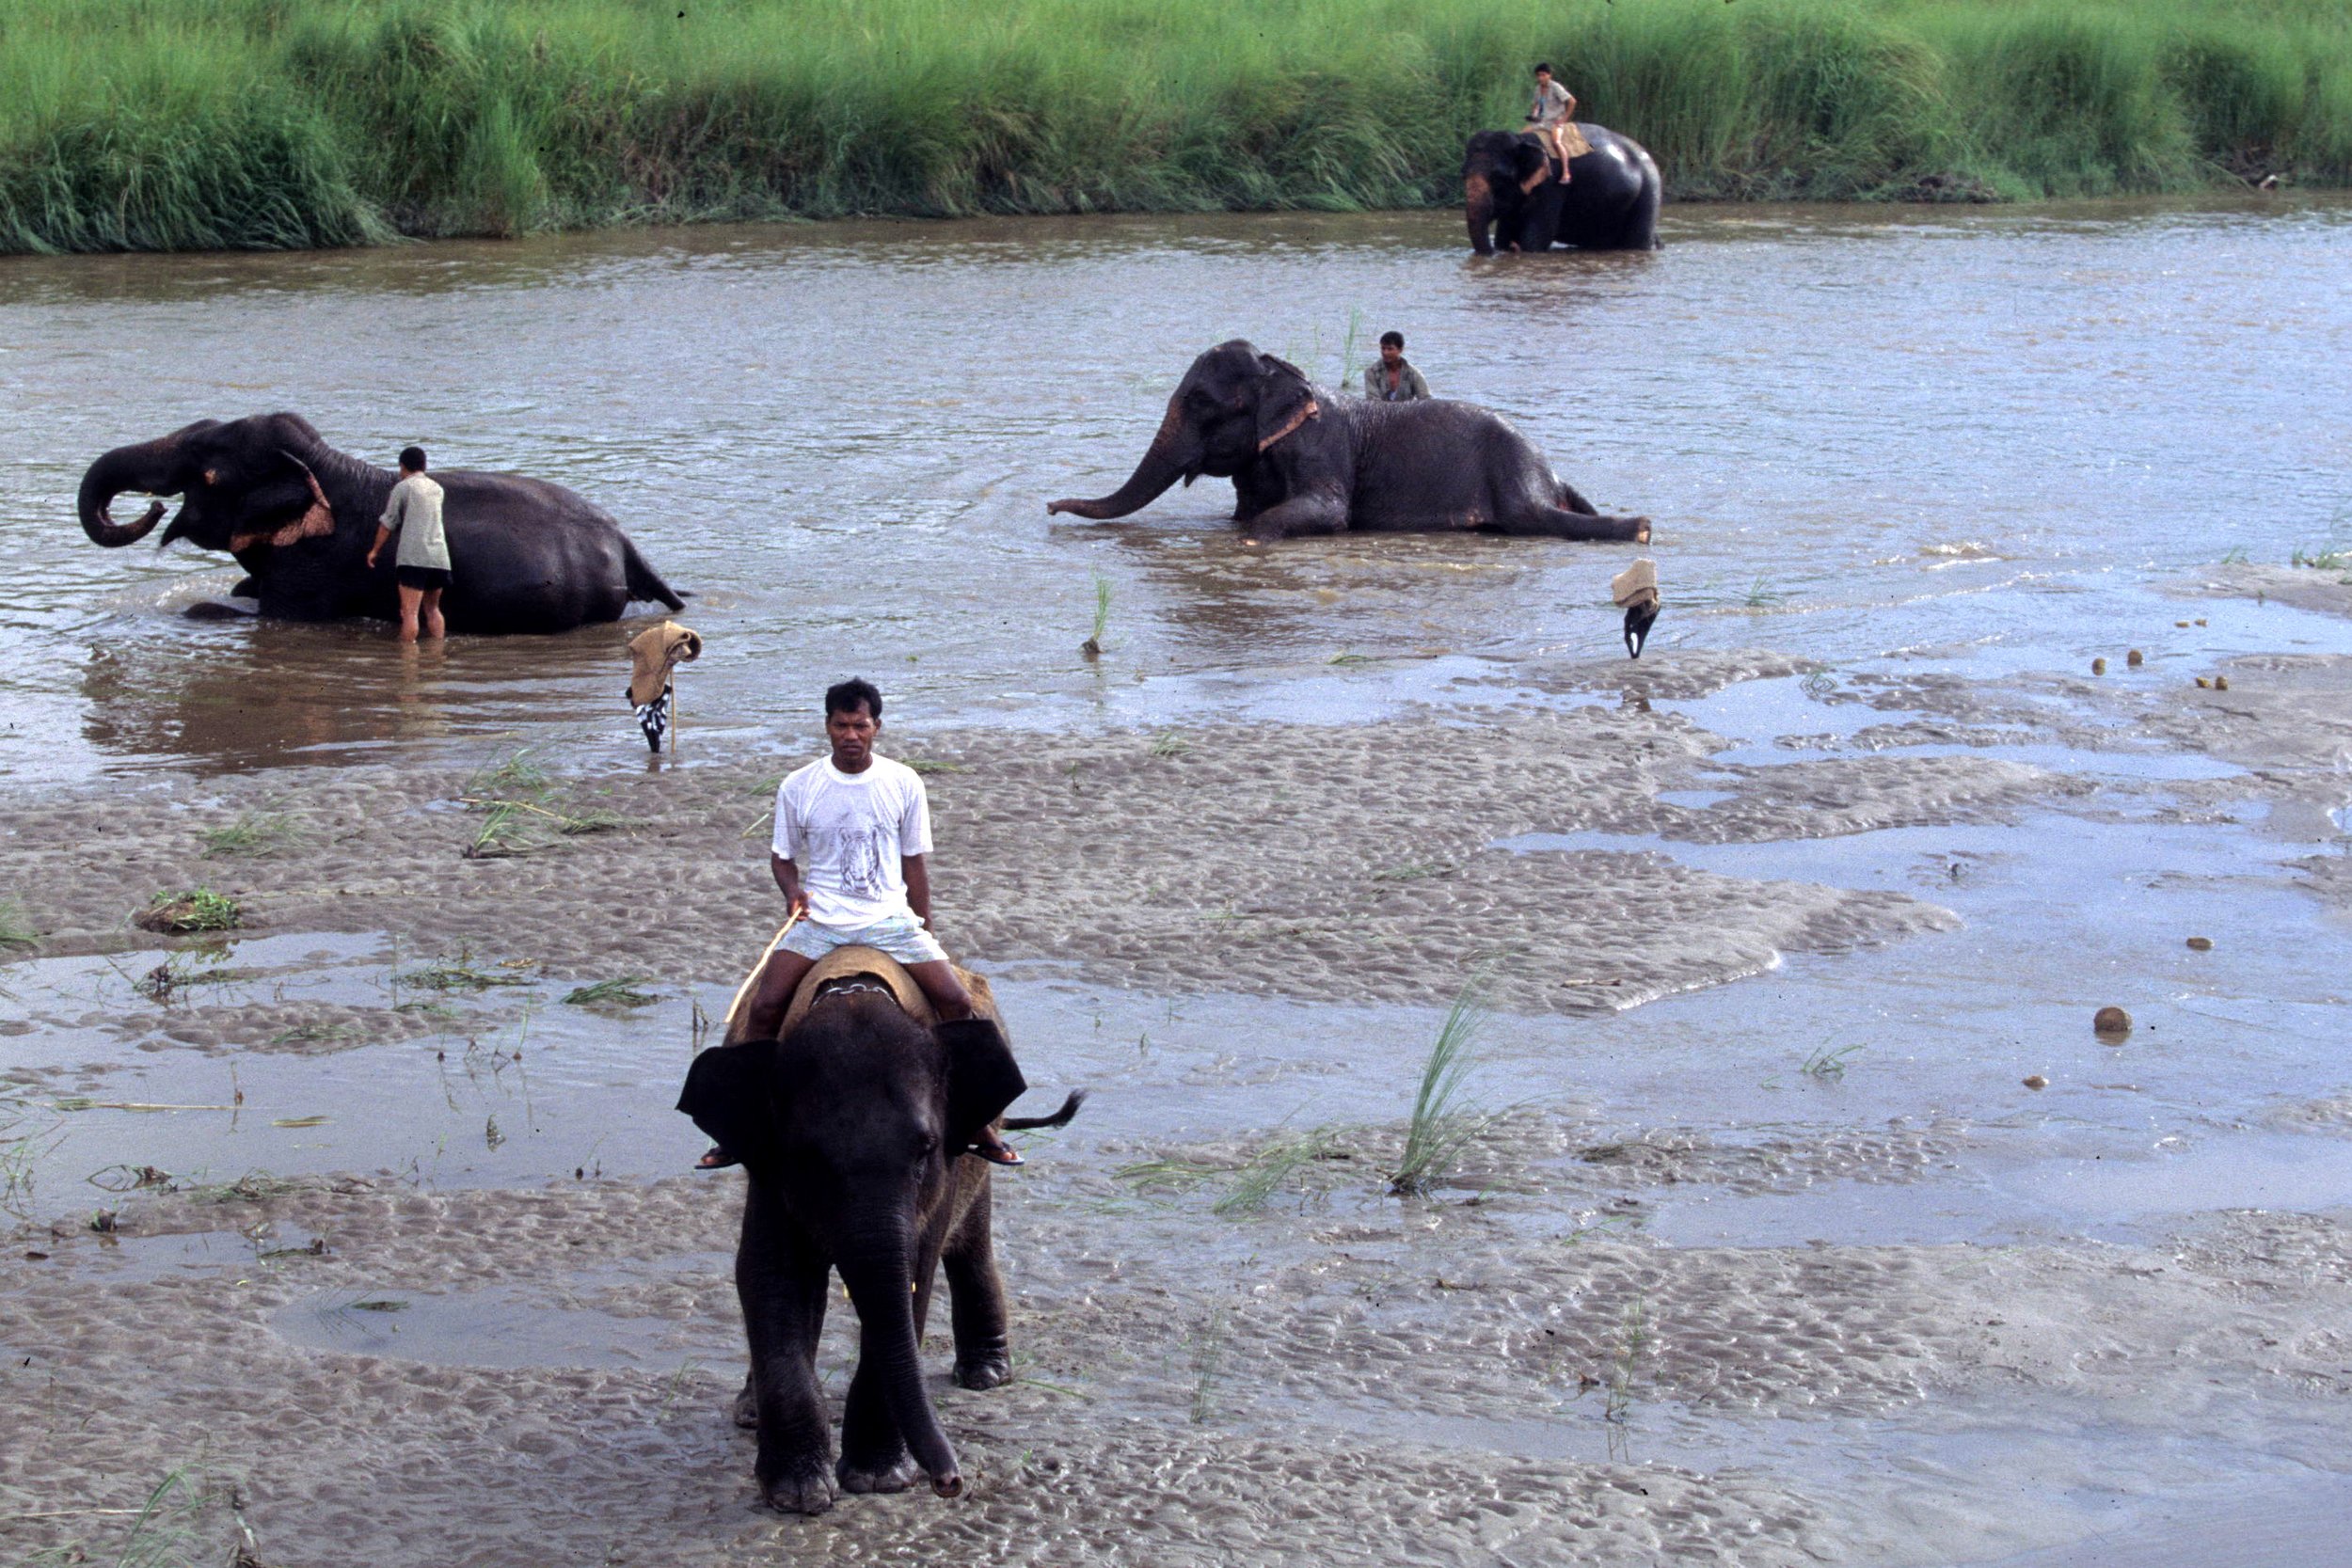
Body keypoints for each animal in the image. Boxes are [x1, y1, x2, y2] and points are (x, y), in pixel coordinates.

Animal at [75, 412, 683, 633]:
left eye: (207, 470)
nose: (152, 507)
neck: (325, 467)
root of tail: (625, 542)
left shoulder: (316, 565)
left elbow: (267, 616)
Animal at [676, 953, 1082, 1514]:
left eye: (924, 1150)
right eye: (808, 1157)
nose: (950, 1481)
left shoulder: (944, 1170)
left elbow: (914, 1278)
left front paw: (877, 1481)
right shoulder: (767, 1162)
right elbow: (768, 1274)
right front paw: (798, 1497)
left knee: (972, 1249)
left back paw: (986, 1378)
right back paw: (750, 1414)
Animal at [1046, 340, 1649, 544]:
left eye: (1200, 403)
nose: (1049, 507)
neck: (1281, 371)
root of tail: (1552, 470)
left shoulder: (1321, 446)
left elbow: (1327, 513)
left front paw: (1253, 542)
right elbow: (1245, 512)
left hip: (1512, 474)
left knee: (1535, 519)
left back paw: (1639, 529)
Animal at [1462, 125, 1664, 254]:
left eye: (1500, 178)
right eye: (1462, 174)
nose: (1492, 254)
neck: (1523, 141)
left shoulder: (1552, 187)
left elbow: (1534, 240)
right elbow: (1503, 236)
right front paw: (1503, 248)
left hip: (1649, 191)